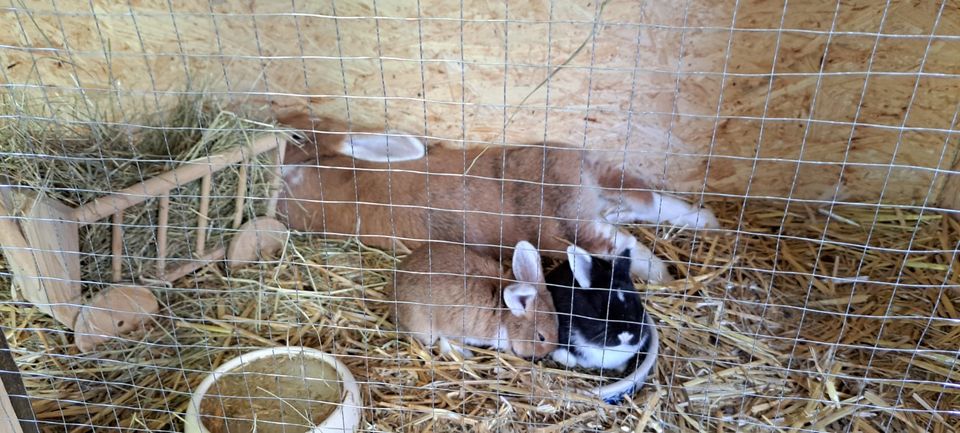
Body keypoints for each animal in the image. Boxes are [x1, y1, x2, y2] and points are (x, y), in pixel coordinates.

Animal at [274, 112, 716, 284]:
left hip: (569, 222)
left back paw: (662, 273)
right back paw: (704, 222)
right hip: (599, 195)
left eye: (296, 133)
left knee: (619, 240)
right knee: (647, 204)